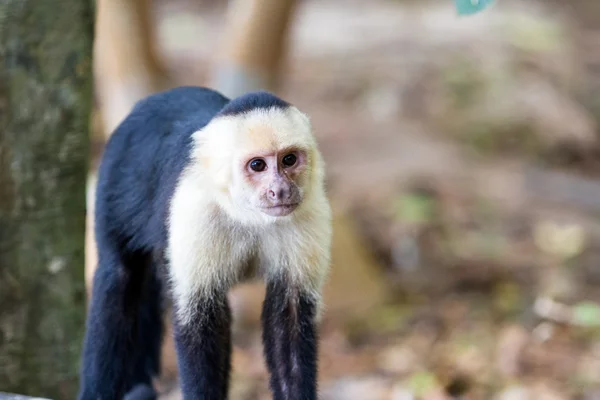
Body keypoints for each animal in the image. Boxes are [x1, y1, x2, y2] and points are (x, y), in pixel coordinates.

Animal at [78, 85, 332, 400]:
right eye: (257, 165)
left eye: (289, 160)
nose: (281, 190)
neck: (249, 216)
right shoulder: (194, 209)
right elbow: (200, 320)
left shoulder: (310, 211)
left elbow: (290, 317)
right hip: (116, 173)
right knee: (120, 277)